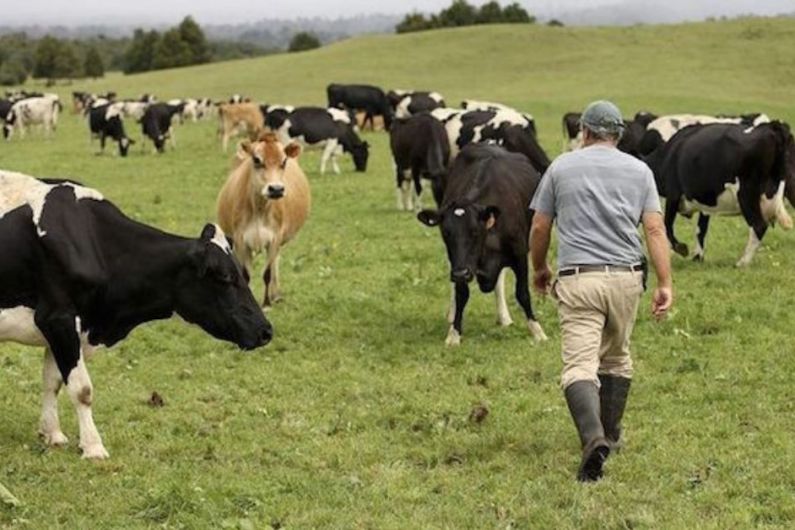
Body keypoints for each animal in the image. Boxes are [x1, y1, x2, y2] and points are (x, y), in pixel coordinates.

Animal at [0, 170, 272, 458]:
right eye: (225, 277)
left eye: (242, 274)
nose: (266, 330)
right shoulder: (57, 318)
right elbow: (82, 389)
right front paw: (93, 447)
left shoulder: (66, 327)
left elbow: (53, 382)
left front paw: (52, 433)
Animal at [218, 131, 310, 306]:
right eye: (256, 160)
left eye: (284, 161)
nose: (276, 189)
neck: (259, 209)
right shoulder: (240, 239)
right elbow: (245, 275)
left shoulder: (275, 238)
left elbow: (267, 273)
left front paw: (267, 303)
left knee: (275, 264)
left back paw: (276, 295)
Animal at [416, 142, 548, 344]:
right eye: (446, 233)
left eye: (475, 232)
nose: (460, 273)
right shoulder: (460, 263)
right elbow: (461, 293)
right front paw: (454, 333)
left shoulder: (519, 254)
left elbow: (522, 292)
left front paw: (537, 330)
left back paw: (504, 317)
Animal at [644, 121, 792, 266]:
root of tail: (771, 127)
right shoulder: (705, 202)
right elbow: (701, 229)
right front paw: (698, 257)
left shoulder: (673, 194)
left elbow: (666, 224)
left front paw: (681, 248)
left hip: (746, 194)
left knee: (759, 225)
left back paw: (742, 262)